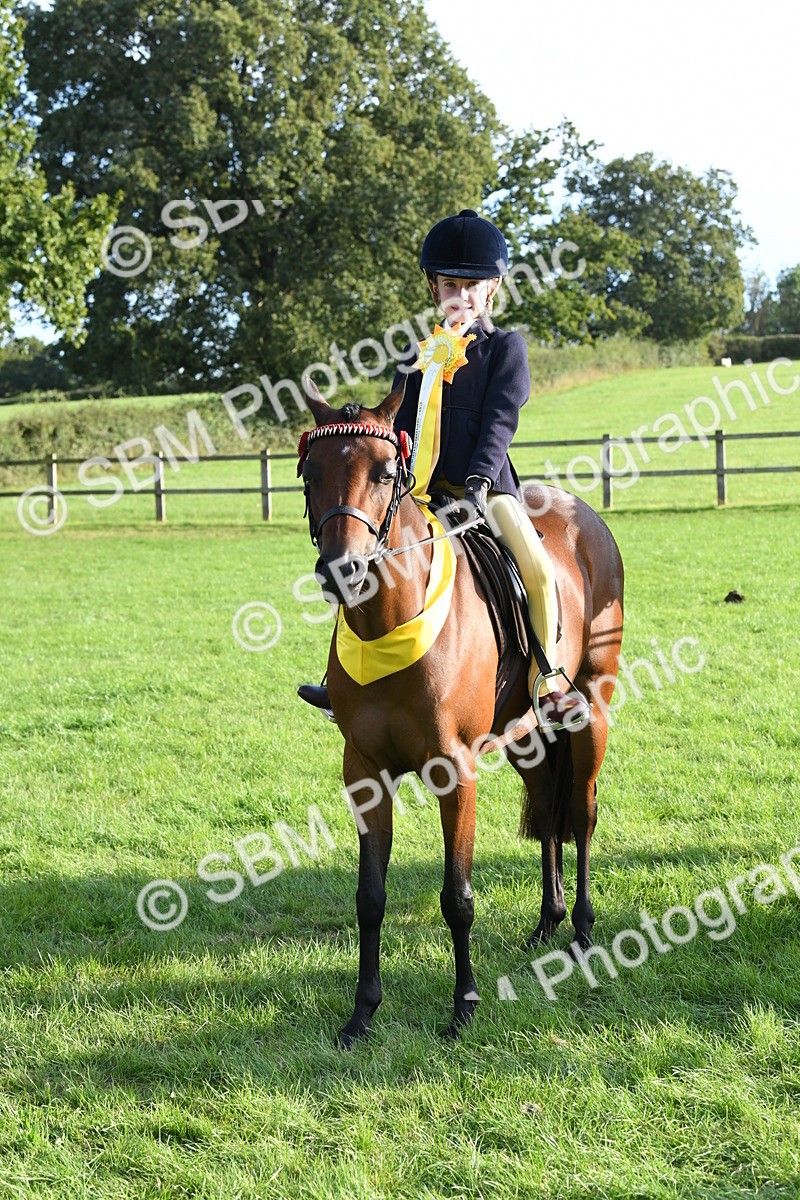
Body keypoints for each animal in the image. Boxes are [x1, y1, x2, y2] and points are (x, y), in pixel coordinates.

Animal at [298, 379, 624, 1046]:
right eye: (311, 474)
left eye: (384, 473)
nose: (343, 570)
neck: (390, 621)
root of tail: (584, 514)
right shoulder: (364, 773)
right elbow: (369, 897)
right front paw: (362, 1014)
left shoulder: (456, 770)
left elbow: (458, 896)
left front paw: (464, 1006)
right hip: (526, 732)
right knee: (548, 810)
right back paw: (547, 922)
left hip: (589, 709)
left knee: (580, 814)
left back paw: (580, 930)